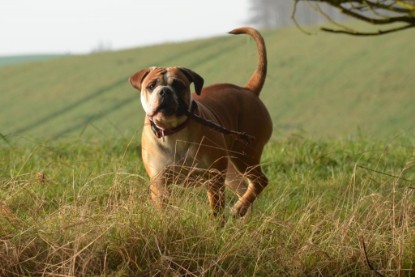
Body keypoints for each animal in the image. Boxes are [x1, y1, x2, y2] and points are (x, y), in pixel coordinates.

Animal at [130, 27, 272, 217]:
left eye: (179, 85)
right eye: (151, 86)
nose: (165, 91)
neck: (173, 130)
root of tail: (248, 90)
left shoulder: (213, 178)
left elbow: (216, 209)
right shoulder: (159, 183)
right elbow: (164, 209)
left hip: (245, 154)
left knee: (259, 180)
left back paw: (240, 208)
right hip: (231, 170)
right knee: (244, 186)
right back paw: (244, 210)